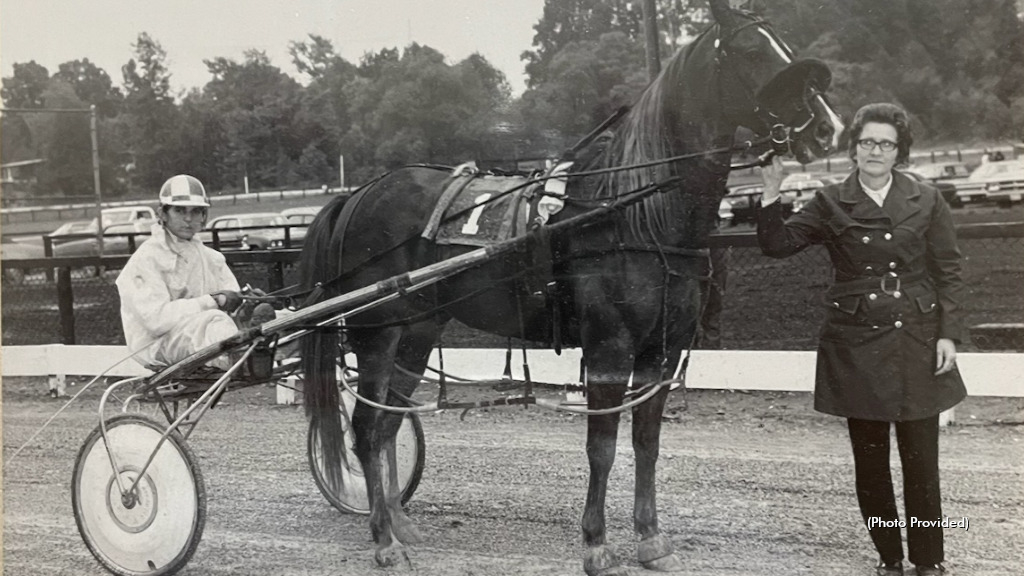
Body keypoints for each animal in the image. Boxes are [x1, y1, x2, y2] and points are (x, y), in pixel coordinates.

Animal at [299, 2, 843, 569]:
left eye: (783, 40)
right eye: (750, 51)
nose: (828, 127)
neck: (633, 212)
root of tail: (359, 194)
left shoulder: (662, 351)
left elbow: (647, 441)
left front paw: (651, 538)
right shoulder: (609, 348)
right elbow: (601, 448)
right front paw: (596, 543)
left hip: (418, 329)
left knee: (387, 423)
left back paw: (400, 524)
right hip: (378, 331)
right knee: (365, 428)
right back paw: (384, 540)